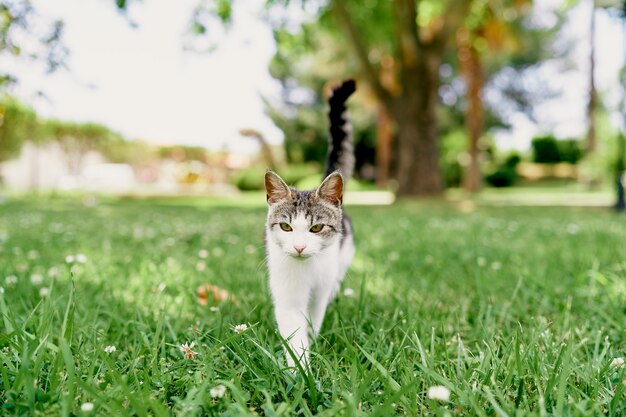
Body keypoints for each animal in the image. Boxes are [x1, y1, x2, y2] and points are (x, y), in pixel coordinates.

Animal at [260, 79, 354, 368]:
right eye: (286, 227)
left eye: (316, 228)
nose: (300, 247)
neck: (306, 271)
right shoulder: (287, 294)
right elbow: (294, 330)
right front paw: (300, 368)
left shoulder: (320, 290)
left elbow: (314, 318)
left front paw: (313, 342)